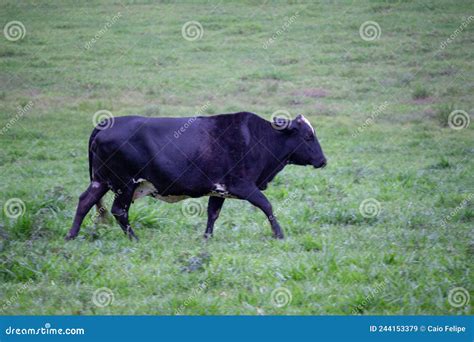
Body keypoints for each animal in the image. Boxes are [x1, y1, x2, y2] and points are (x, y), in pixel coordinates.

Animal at [65, 111, 326, 240]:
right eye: (308, 136)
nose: (323, 161)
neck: (258, 137)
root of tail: (105, 124)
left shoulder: (219, 190)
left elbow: (213, 213)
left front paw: (207, 237)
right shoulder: (243, 185)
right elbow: (267, 206)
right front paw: (279, 234)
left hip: (101, 181)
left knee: (85, 201)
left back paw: (71, 235)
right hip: (124, 184)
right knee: (119, 211)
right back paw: (134, 238)